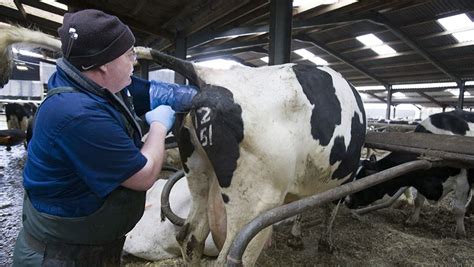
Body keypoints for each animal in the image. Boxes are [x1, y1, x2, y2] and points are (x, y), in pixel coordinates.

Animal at [135, 47, 364, 266]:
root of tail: (207, 76)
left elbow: (303, 207)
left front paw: (296, 238)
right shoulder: (343, 180)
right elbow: (329, 210)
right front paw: (326, 243)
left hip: (198, 177)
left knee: (190, 237)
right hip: (256, 202)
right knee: (232, 257)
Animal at [344, 110, 474, 240]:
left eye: (364, 180)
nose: (347, 201)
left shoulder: (463, 182)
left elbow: (458, 209)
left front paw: (460, 233)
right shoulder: (420, 178)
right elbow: (418, 201)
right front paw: (413, 220)